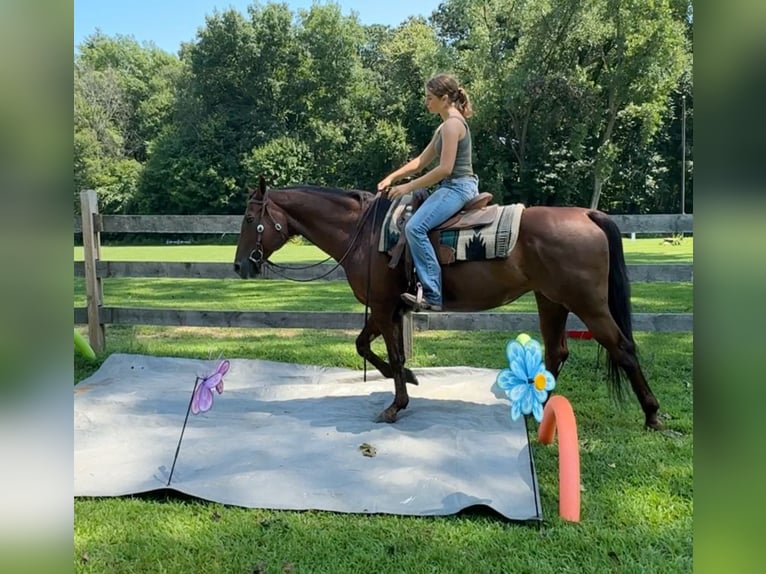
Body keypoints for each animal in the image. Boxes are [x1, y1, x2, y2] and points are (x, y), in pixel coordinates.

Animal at [234, 181, 664, 432]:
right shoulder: (387, 308)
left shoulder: (383, 306)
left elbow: (388, 351)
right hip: (552, 300)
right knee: (558, 351)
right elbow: (365, 345)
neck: (364, 233)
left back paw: (652, 414)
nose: (239, 266)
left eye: (251, 218)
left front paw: (396, 404)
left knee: (623, 348)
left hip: (587, 304)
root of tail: (589, 214)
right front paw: (408, 378)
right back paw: (532, 409)